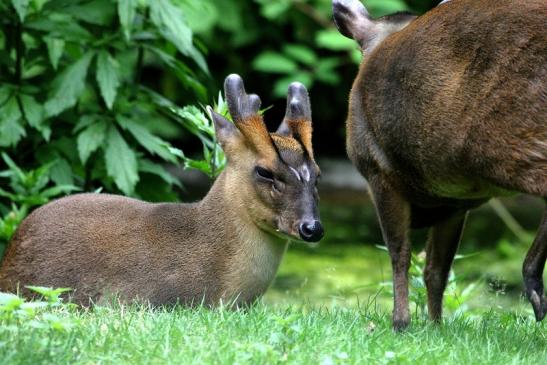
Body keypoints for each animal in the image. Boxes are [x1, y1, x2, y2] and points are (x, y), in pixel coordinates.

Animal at [334, 0, 547, 330]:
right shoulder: (455, 201)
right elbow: (436, 269)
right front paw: (436, 325)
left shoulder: (378, 170)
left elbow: (400, 254)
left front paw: (401, 323)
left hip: (515, 142)